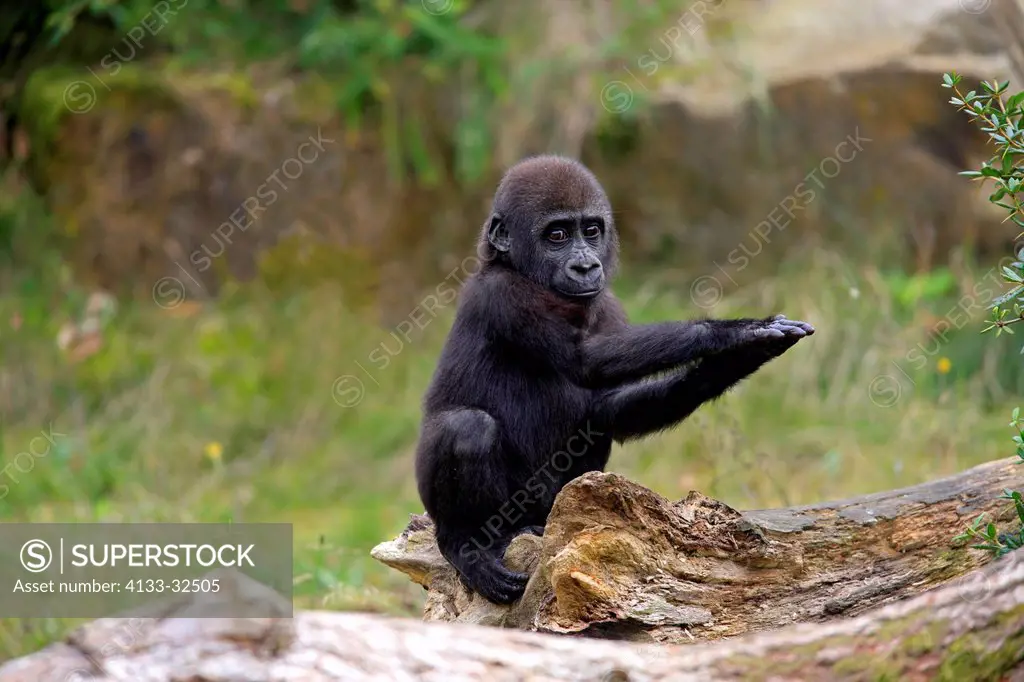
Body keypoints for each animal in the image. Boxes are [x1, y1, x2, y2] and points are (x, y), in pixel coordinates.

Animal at [411, 153, 811, 602]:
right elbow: (584, 359)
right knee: (466, 426)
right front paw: (734, 332)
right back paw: (465, 545)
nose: (586, 265)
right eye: (557, 235)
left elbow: (609, 409)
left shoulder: (607, 303)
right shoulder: (501, 294)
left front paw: (739, 359)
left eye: (591, 230)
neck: (520, 270)